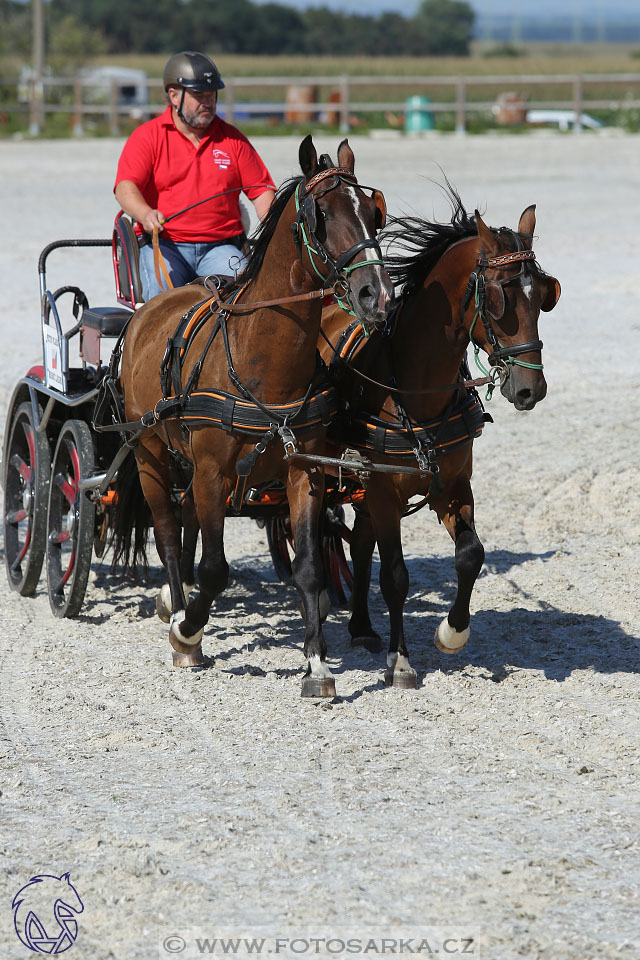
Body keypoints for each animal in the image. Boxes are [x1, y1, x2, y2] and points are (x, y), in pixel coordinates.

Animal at [114, 135, 390, 692]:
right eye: (322, 214)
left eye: (374, 212)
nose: (377, 294)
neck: (261, 358)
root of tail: (150, 309)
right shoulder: (212, 471)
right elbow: (215, 569)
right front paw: (188, 634)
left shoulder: (304, 470)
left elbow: (309, 566)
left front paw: (317, 665)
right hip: (150, 450)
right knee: (168, 533)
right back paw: (176, 608)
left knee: (185, 521)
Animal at [320, 195, 560, 688]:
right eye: (500, 297)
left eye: (543, 296)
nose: (532, 389)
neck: (416, 392)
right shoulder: (383, 490)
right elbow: (395, 576)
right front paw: (400, 661)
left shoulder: (451, 485)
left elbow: (471, 554)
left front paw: (452, 632)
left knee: (359, 543)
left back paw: (361, 626)